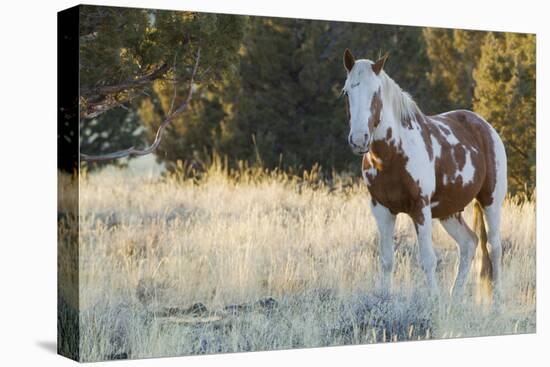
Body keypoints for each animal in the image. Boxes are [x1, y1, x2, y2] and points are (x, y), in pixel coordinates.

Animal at [342, 49, 512, 306]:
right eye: (347, 91)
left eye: (376, 92)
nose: (359, 139)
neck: (393, 154)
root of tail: (485, 126)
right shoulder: (381, 209)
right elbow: (386, 260)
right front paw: (384, 300)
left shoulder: (420, 208)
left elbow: (428, 260)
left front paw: (433, 301)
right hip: (449, 211)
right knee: (469, 243)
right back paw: (454, 298)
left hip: (491, 201)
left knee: (494, 247)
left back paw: (497, 302)